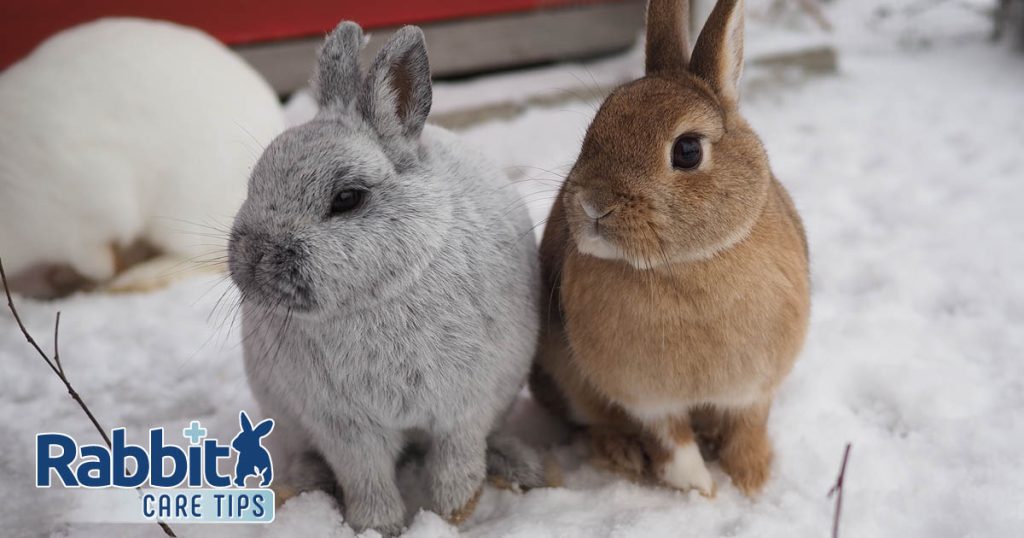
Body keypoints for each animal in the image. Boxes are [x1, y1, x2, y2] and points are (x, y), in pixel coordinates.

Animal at [0, 18, 285, 297]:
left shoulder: (89, 211)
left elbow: (96, 259)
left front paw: (107, 275)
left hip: (184, 212)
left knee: (204, 257)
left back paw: (133, 279)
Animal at [227, 21, 543, 535]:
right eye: (254, 183)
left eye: (347, 198)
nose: (253, 262)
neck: (377, 296)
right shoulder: (345, 429)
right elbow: (367, 478)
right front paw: (378, 527)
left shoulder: (464, 407)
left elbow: (456, 461)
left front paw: (453, 515)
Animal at [529, 0, 810, 497]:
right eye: (596, 126)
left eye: (687, 151)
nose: (593, 204)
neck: (686, 264)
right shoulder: (645, 396)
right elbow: (672, 442)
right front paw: (702, 491)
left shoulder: (755, 387)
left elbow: (748, 425)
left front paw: (752, 480)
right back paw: (621, 453)